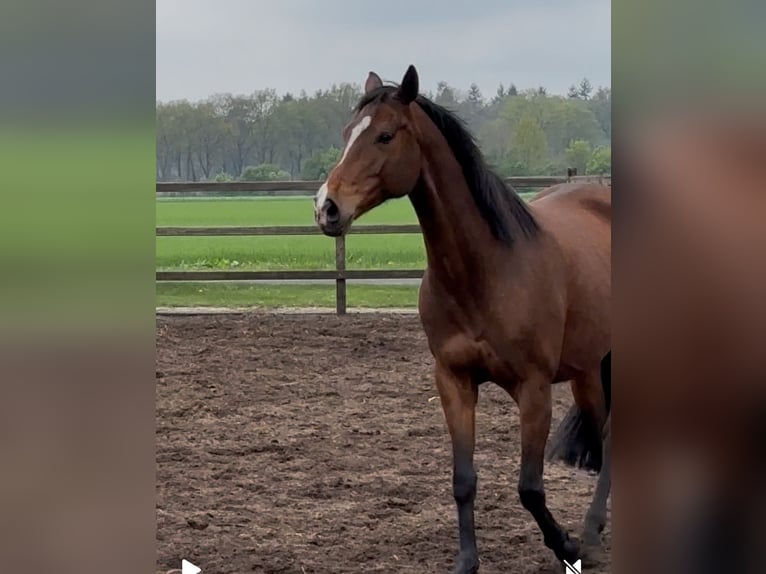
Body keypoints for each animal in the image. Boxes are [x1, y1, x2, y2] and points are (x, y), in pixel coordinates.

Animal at [314, 65, 612, 573]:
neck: (485, 269)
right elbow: (463, 479)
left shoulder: (533, 390)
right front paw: (467, 561)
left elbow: (529, 488)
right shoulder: (453, 381)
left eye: (385, 135)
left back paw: (590, 538)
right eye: (346, 133)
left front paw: (567, 546)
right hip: (588, 372)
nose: (326, 207)